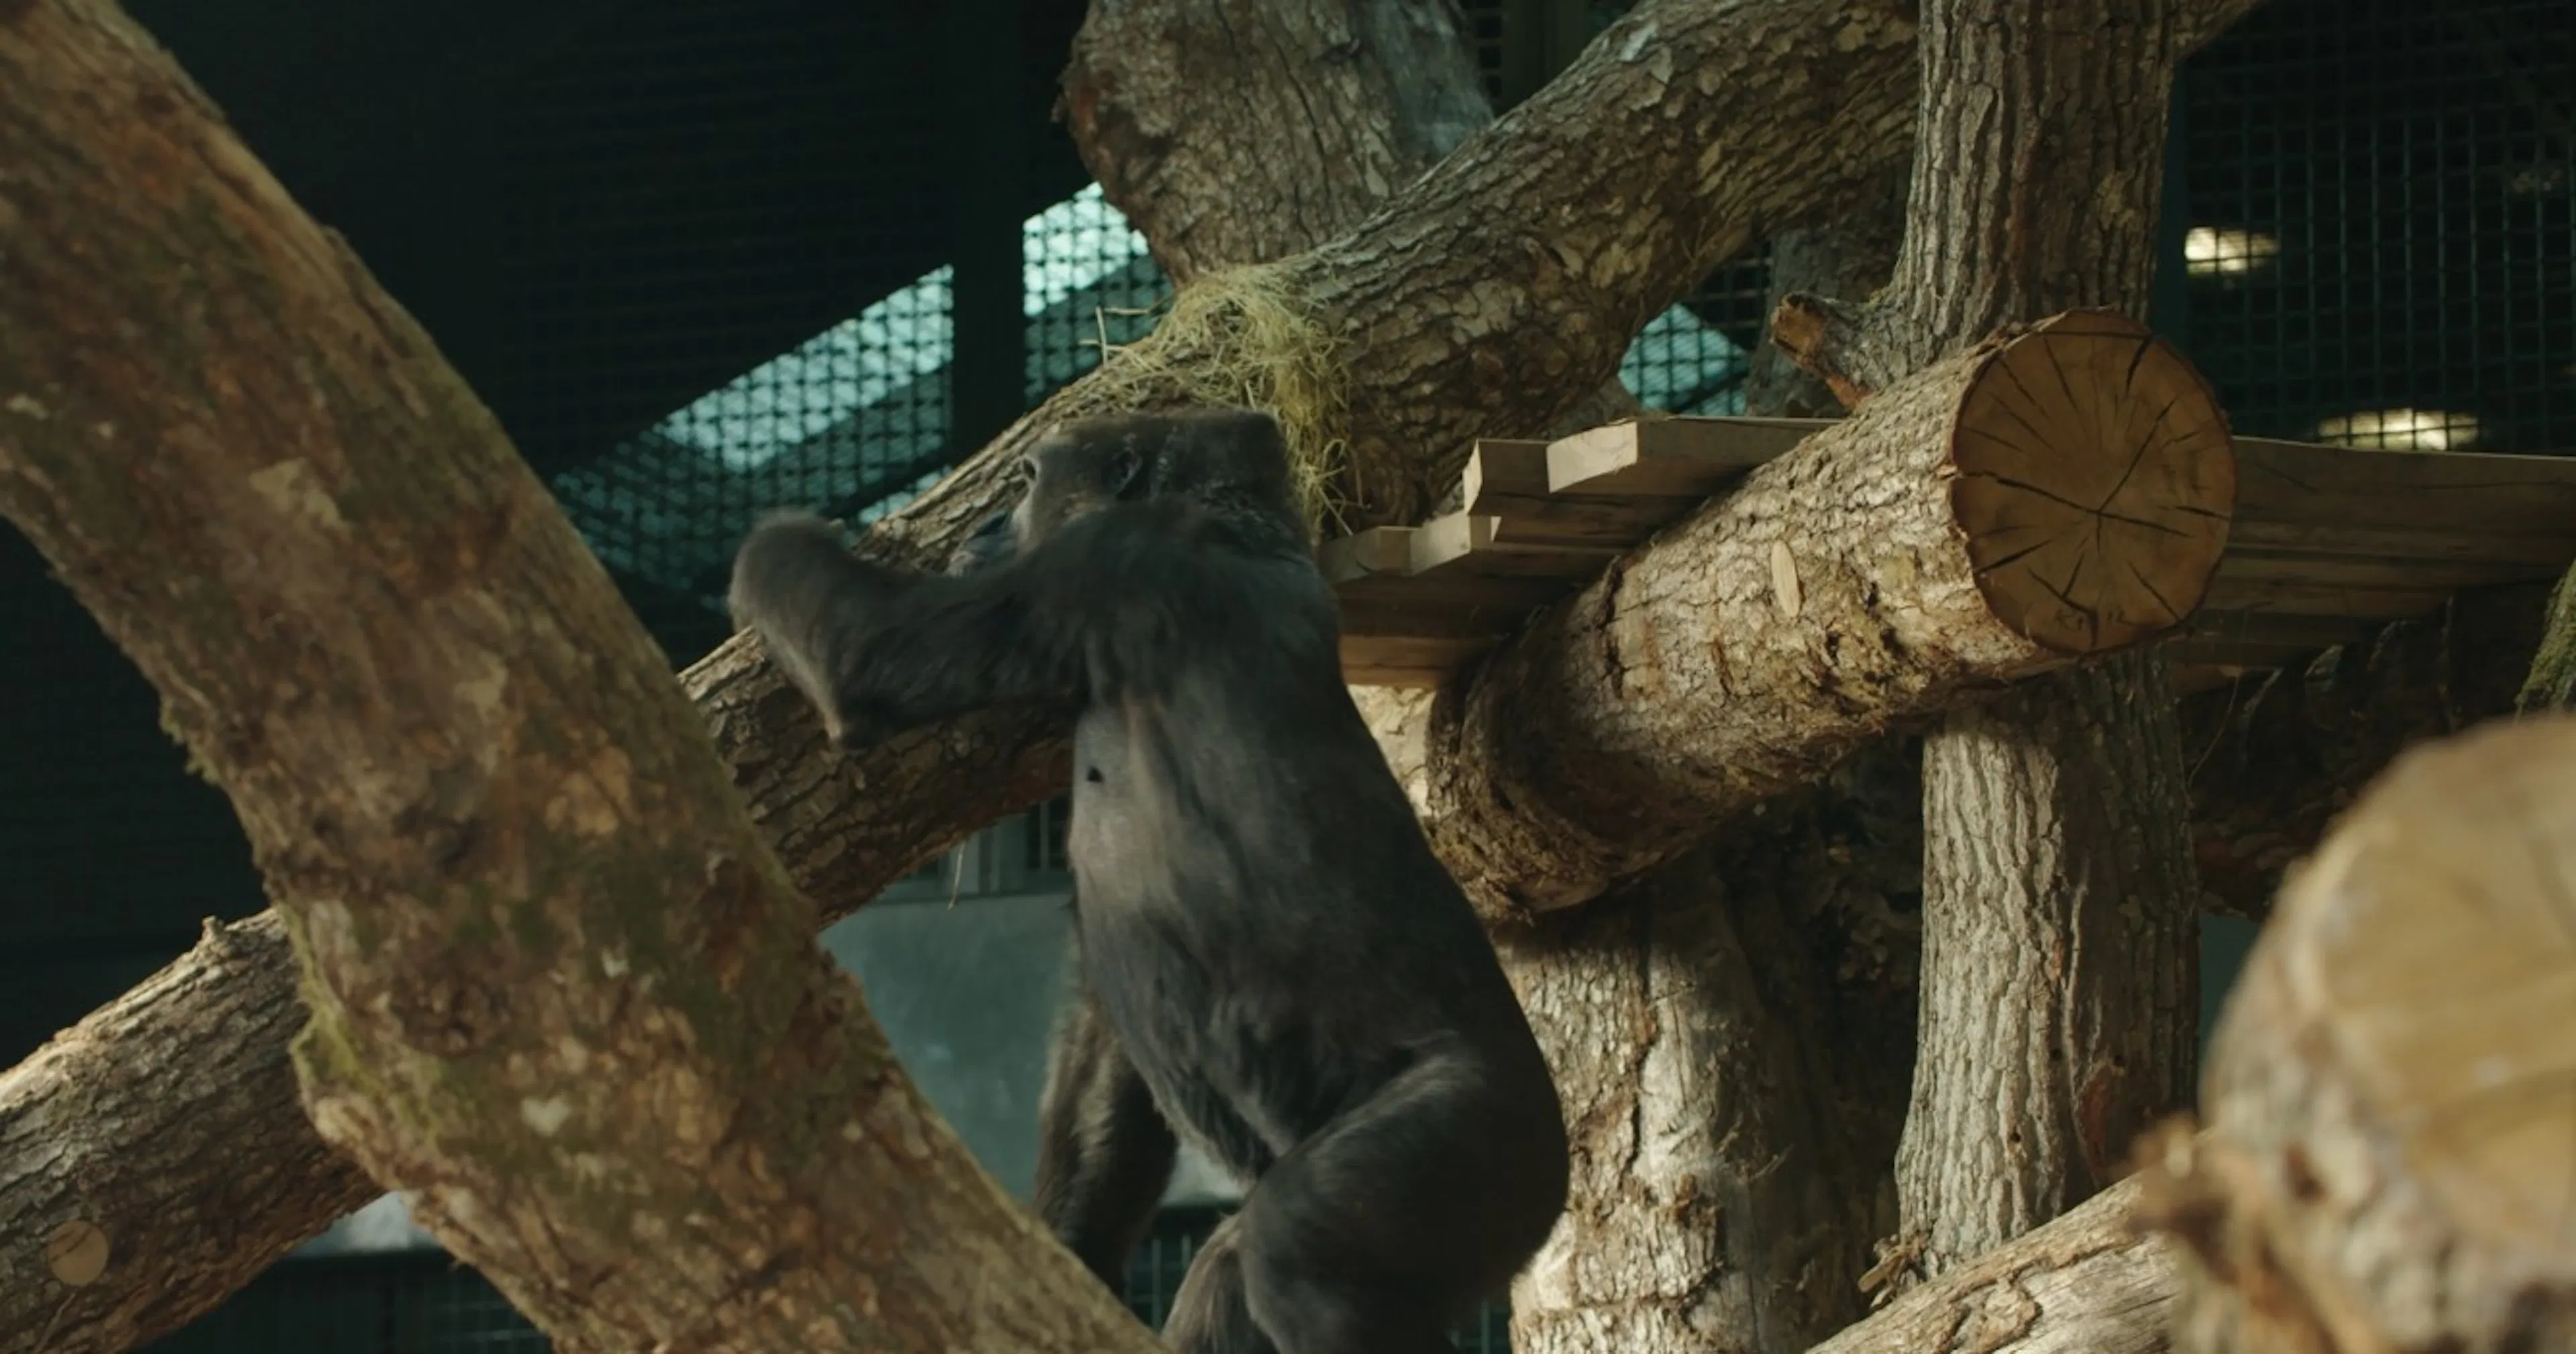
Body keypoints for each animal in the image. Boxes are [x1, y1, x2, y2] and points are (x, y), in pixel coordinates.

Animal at [729, 406, 1569, 1354]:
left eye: (1027, 482)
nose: (986, 528)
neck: (1232, 523)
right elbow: (1107, 1052)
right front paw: (1067, 1250)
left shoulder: (1104, 561)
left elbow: (864, 649)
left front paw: (781, 533)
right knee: (1231, 1269)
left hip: (1481, 1146)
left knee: (1299, 1251)